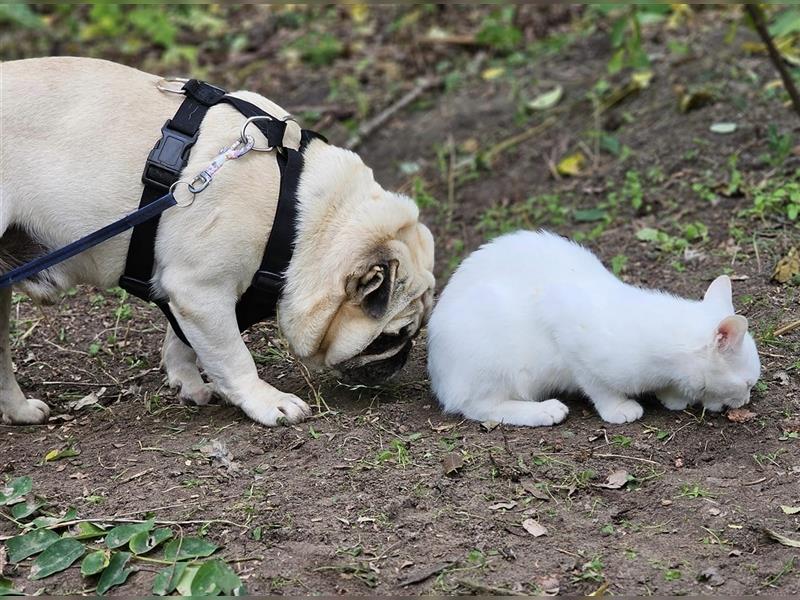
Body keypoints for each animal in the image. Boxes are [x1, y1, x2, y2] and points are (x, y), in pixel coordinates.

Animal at [0, 55, 434, 422]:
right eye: (392, 336)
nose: (404, 357)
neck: (303, 216)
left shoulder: (192, 300)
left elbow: (184, 342)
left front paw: (188, 381)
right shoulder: (200, 292)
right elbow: (233, 355)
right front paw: (264, 400)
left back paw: (19, 411)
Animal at [428, 230, 760, 426]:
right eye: (746, 384)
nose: (745, 401)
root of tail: (440, 377)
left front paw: (672, 397)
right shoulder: (572, 342)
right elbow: (600, 388)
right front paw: (620, 410)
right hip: (493, 361)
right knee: (480, 406)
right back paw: (545, 411)